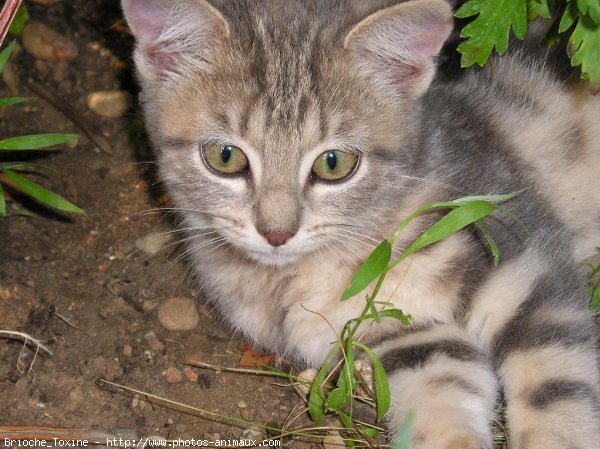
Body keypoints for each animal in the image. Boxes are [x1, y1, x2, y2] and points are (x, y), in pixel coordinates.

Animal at [120, 0, 600, 446]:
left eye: (334, 163)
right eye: (225, 157)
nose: (276, 233)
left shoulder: (522, 256)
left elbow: (556, 384)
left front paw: (559, 435)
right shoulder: (401, 332)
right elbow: (441, 394)